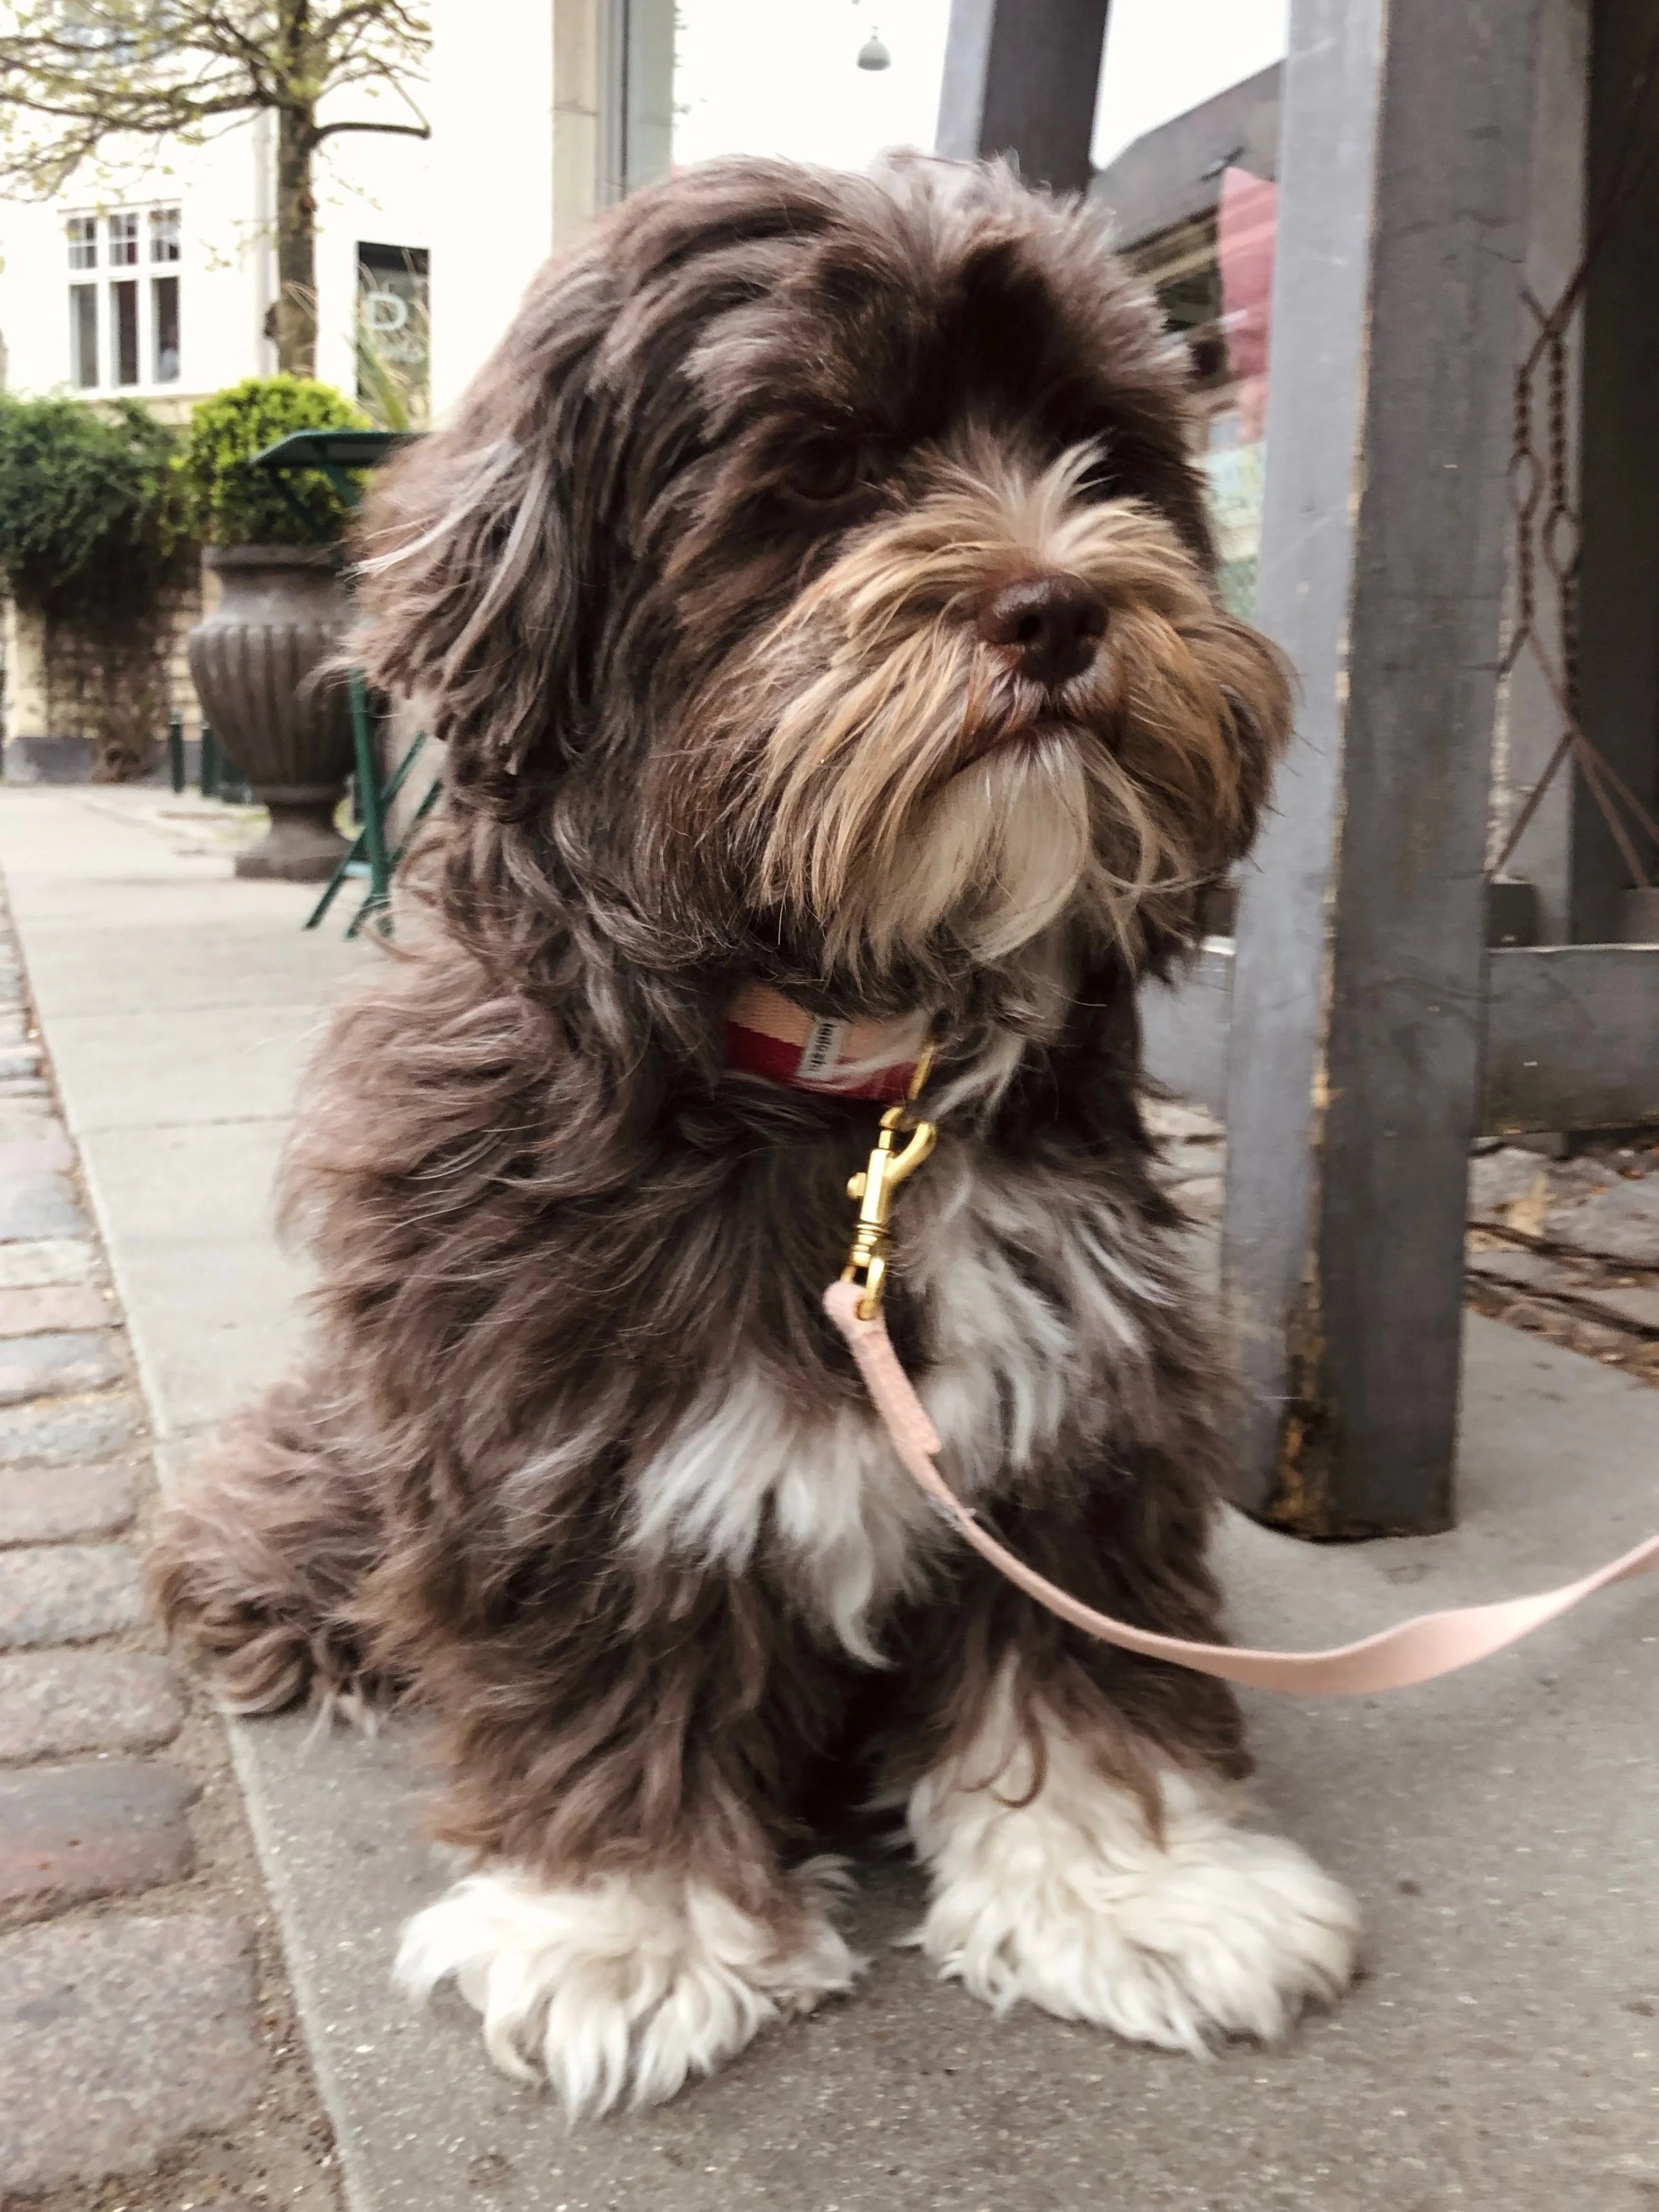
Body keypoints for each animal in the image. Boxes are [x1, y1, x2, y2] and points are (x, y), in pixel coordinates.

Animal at [149, 147, 1354, 2114]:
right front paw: (616, 1926)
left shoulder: (1079, 1398)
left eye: (1099, 452)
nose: (1056, 607)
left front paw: (1133, 1886)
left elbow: (1071, 1657)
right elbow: (600, 1665)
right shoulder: (555, 1438)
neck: (836, 1072)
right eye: (826, 475)